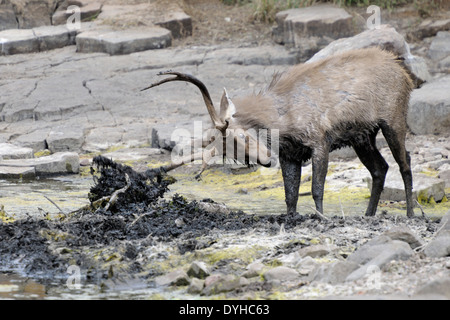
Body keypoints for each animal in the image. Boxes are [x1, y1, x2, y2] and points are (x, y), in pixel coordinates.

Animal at [143, 47, 414, 218]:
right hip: (362, 136)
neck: (284, 122)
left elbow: (316, 188)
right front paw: (292, 218)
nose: (265, 159)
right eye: (229, 153)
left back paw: (412, 213)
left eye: (242, 136)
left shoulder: (320, 140)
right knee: (380, 168)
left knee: (405, 162)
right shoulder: (290, 154)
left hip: (393, 119)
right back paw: (369, 214)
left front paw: (321, 218)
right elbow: (290, 195)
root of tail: (406, 76)